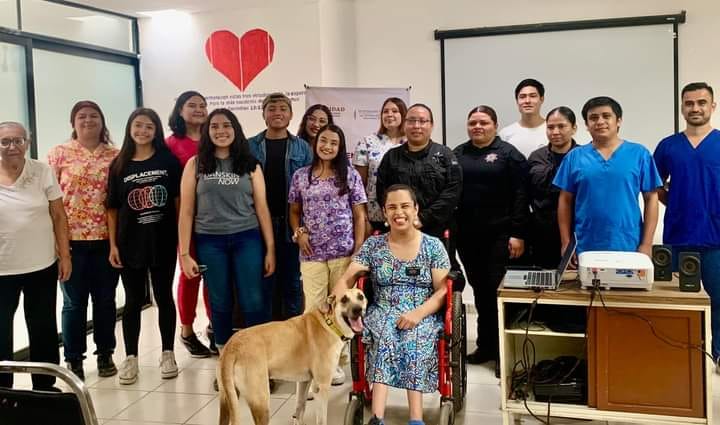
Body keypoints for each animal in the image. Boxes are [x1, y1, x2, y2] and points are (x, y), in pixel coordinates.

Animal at [215, 286, 366, 422]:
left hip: (226, 400)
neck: (330, 323)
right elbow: (321, 419)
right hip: (261, 402)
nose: (358, 309)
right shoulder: (321, 387)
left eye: (361, 297)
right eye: (344, 299)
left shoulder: (304, 381)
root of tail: (232, 345)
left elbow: (299, 409)